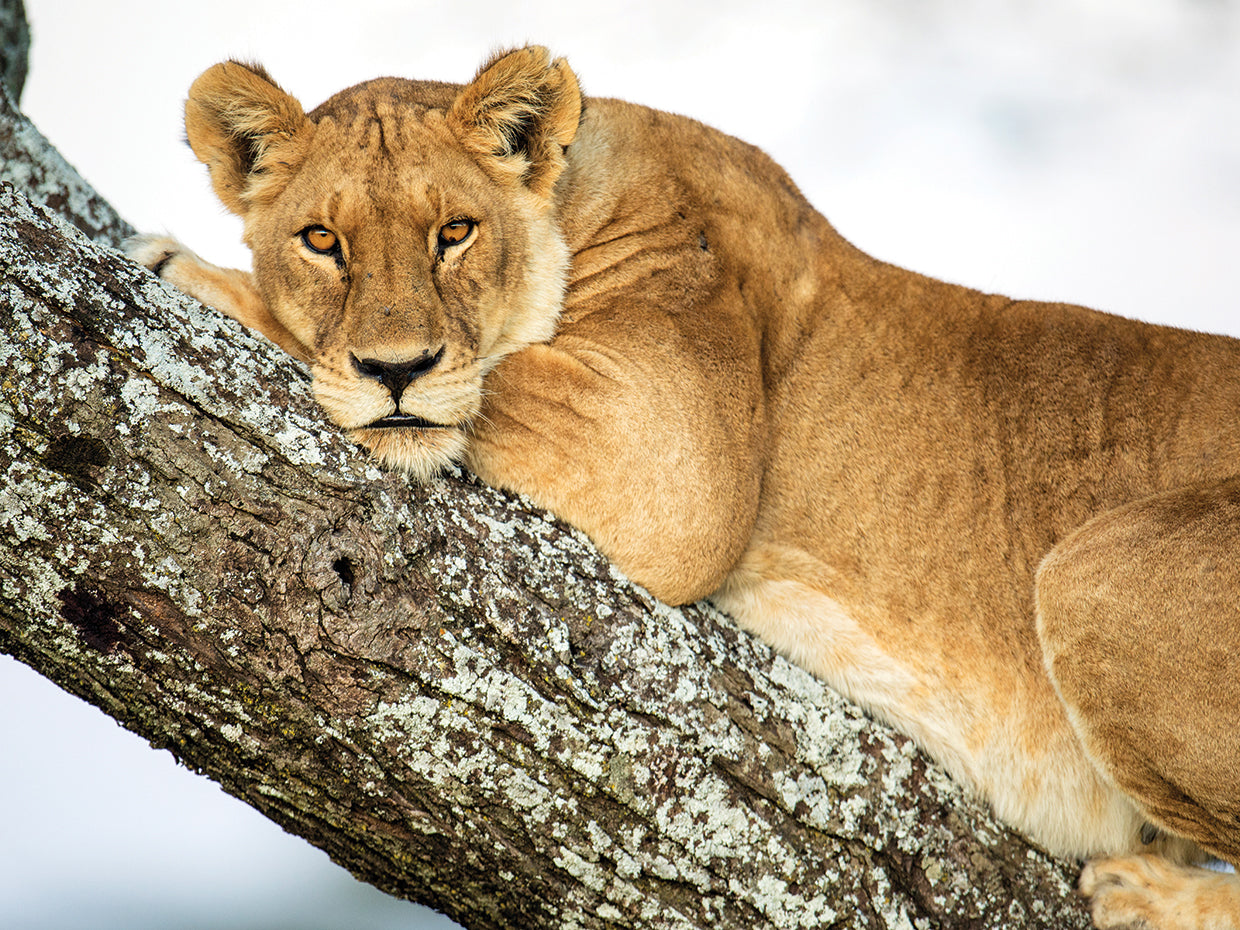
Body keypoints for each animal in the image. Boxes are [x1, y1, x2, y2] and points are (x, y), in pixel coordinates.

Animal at [127, 46, 1240, 928]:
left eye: (454, 232)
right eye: (323, 240)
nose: (394, 367)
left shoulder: (668, 448)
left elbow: (491, 378)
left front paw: (188, 269)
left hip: (1094, 569)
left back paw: (1147, 896)